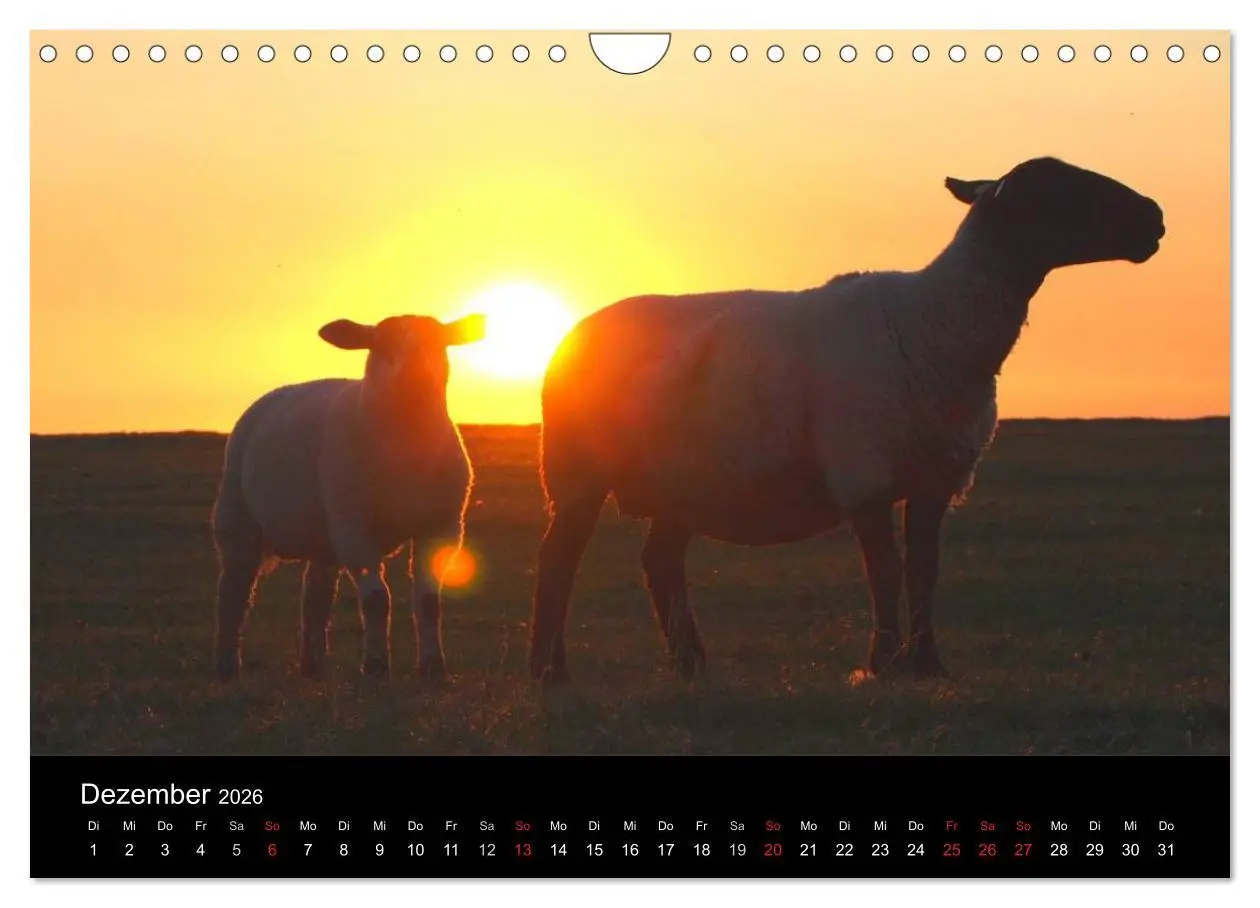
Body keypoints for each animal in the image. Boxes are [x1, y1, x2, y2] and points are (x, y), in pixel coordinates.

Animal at [210, 312, 486, 682]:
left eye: (438, 342)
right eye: (381, 344)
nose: (414, 376)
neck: (406, 451)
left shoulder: (442, 525)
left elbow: (429, 603)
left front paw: (433, 669)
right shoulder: (353, 528)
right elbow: (376, 601)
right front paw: (376, 666)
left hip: (322, 536)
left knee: (315, 596)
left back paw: (312, 666)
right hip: (238, 518)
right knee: (233, 592)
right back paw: (226, 665)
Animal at [529, 156, 1165, 683]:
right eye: (1061, 190)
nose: (1155, 218)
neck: (938, 321)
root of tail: (574, 329)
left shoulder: (936, 478)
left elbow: (925, 569)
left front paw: (928, 664)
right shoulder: (867, 474)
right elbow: (883, 569)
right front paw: (881, 663)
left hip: (684, 478)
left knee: (659, 561)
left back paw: (691, 664)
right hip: (576, 469)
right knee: (559, 558)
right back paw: (549, 670)